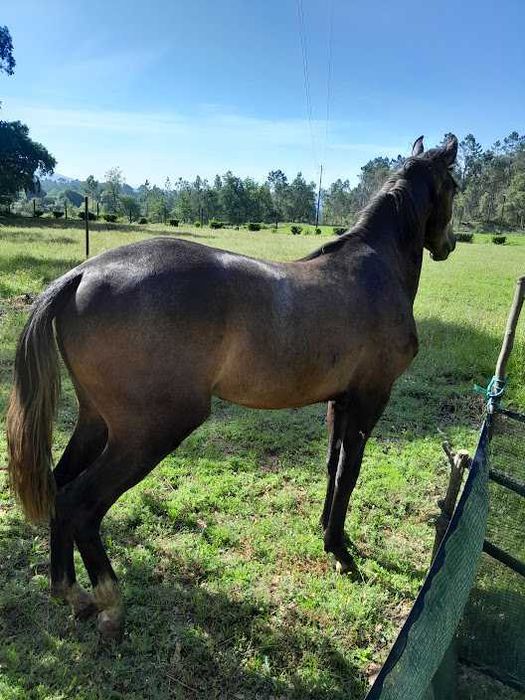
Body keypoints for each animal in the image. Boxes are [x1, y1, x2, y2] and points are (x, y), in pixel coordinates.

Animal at [7, 135, 458, 638]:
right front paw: (341, 552)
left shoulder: (338, 403)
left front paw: (326, 532)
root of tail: (82, 274)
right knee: (80, 505)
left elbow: (331, 465)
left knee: (59, 489)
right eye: (455, 186)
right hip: (149, 433)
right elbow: (349, 473)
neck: (375, 269)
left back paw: (71, 594)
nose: (449, 243)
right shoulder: (369, 399)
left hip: (96, 421)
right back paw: (109, 603)